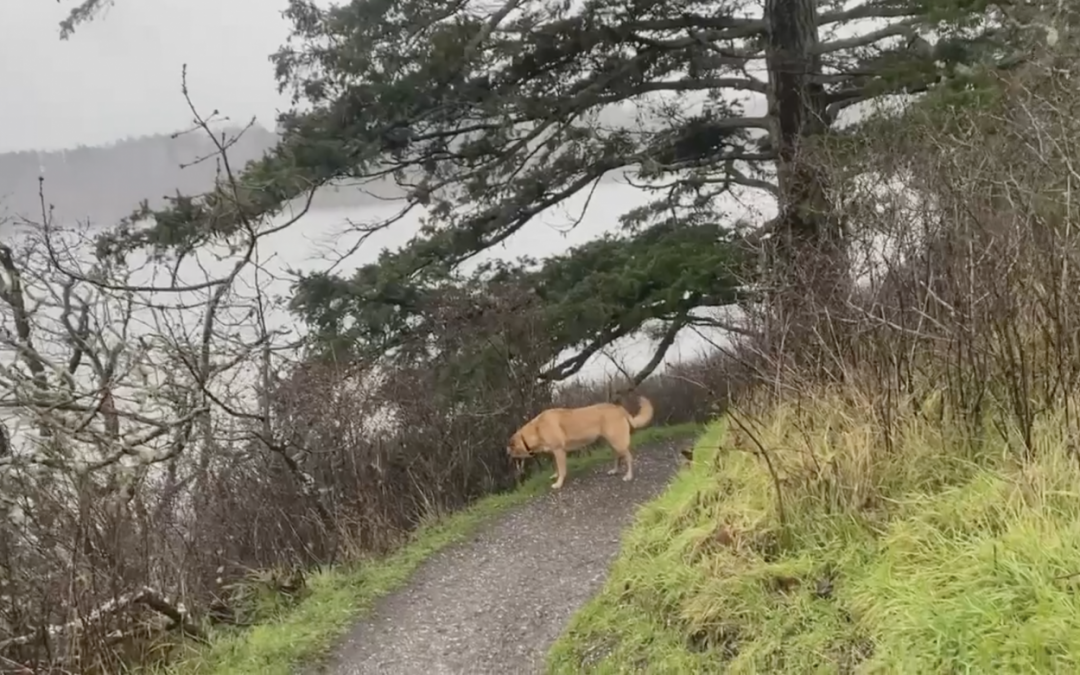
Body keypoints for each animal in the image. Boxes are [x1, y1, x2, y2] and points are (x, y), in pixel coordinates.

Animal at [503, 395, 648, 490]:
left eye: (510, 448)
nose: (507, 454)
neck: (536, 430)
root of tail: (618, 408)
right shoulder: (554, 453)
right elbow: (556, 467)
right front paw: (555, 475)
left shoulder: (559, 451)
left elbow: (562, 470)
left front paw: (559, 483)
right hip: (612, 443)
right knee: (617, 456)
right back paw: (615, 470)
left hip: (617, 442)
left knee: (629, 457)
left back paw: (628, 476)